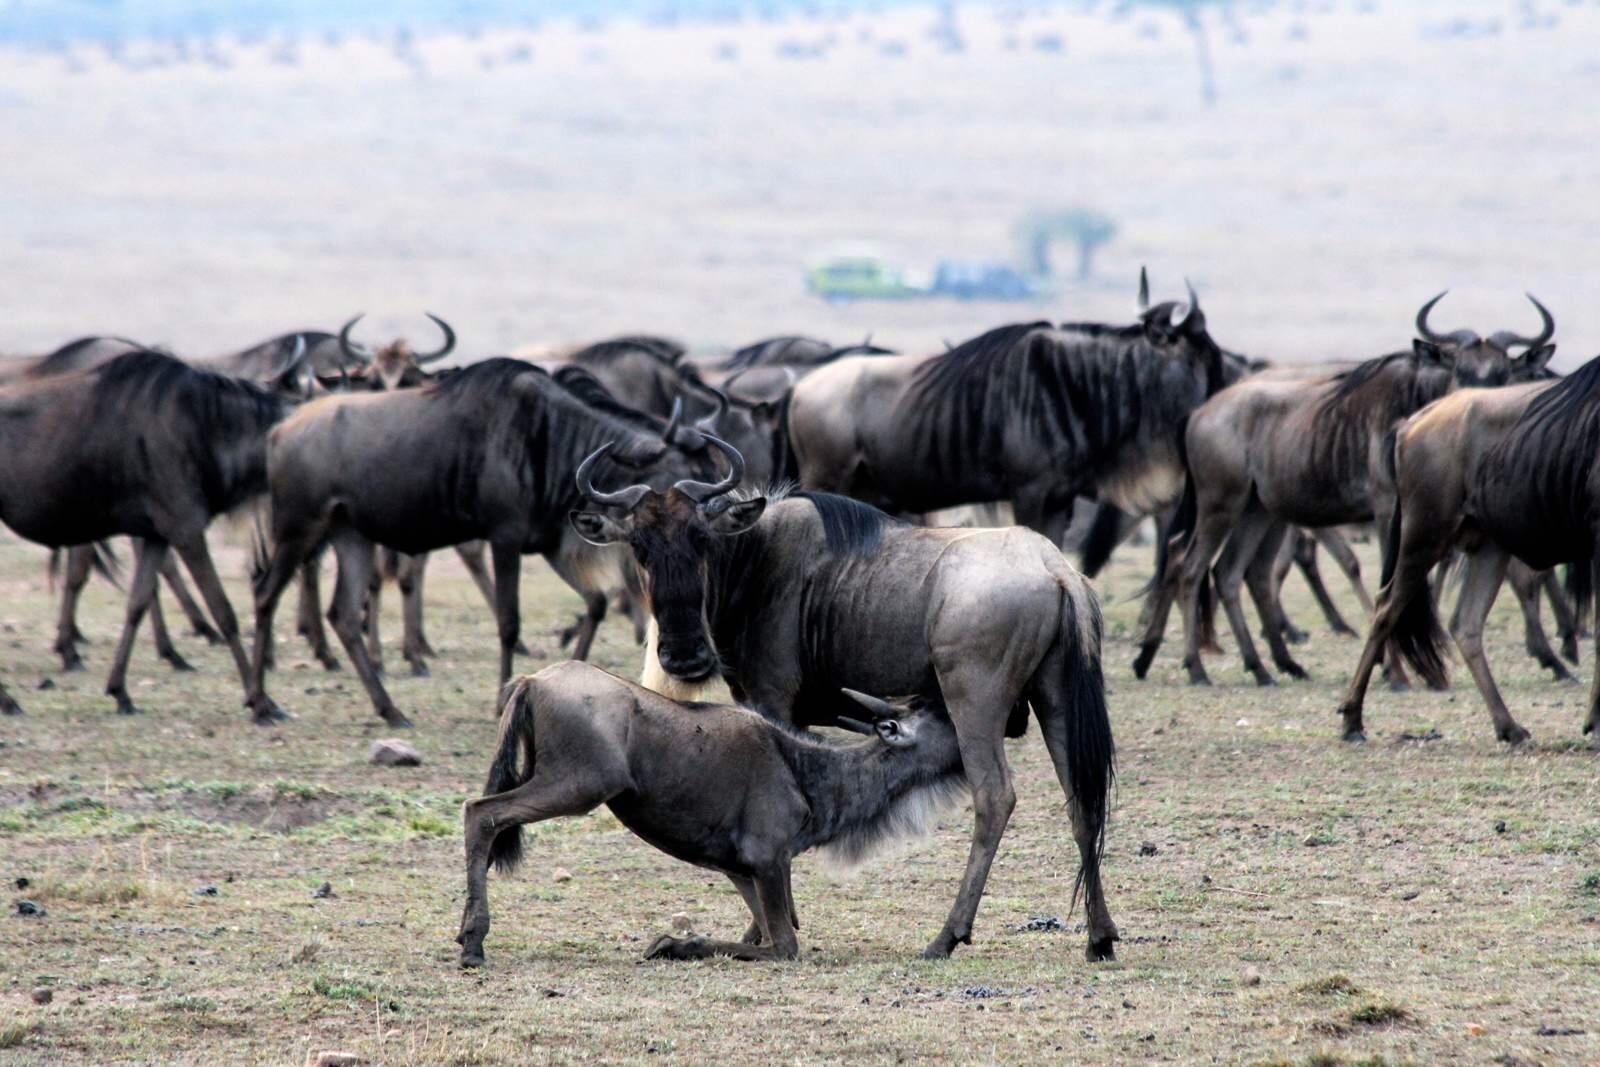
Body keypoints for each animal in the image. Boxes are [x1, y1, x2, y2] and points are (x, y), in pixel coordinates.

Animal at [457, 659, 966, 966]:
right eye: (946, 720)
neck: (807, 772)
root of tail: (533, 681)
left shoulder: (743, 871)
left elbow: (759, 933)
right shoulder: (767, 861)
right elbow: (783, 945)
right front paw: (671, 943)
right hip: (578, 786)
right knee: (481, 812)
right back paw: (473, 943)